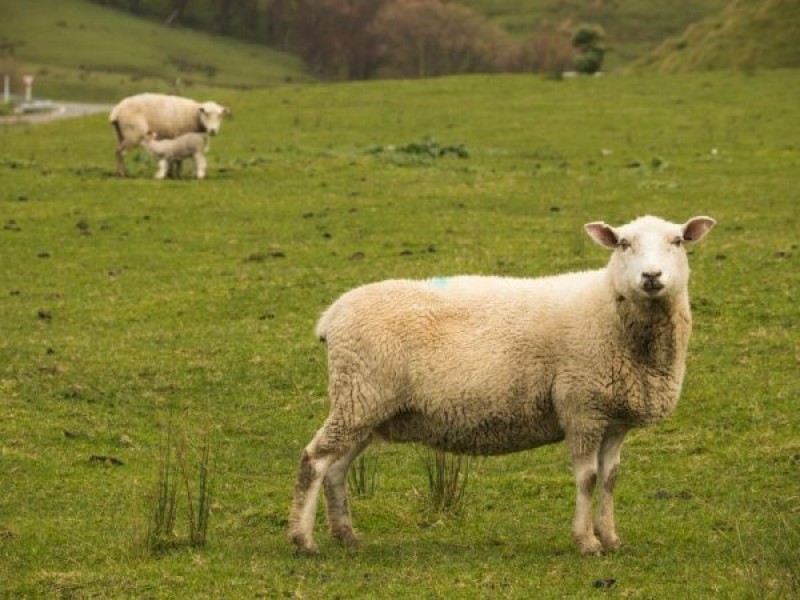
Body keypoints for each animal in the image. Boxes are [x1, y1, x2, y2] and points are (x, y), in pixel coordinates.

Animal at [290, 213, 716, 556]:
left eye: (677, 241)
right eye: (624, 243)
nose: (651, 277)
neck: (612, 311)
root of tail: (332, 315)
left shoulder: (613, 419)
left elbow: (609, 479)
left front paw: (610, 538)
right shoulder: (581, 408)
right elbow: (588, 478)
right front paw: (586, 541)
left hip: (367, 406)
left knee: (337, 467)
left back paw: (346, 536)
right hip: (360, 393)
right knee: (315, 459)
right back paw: (303, 540)